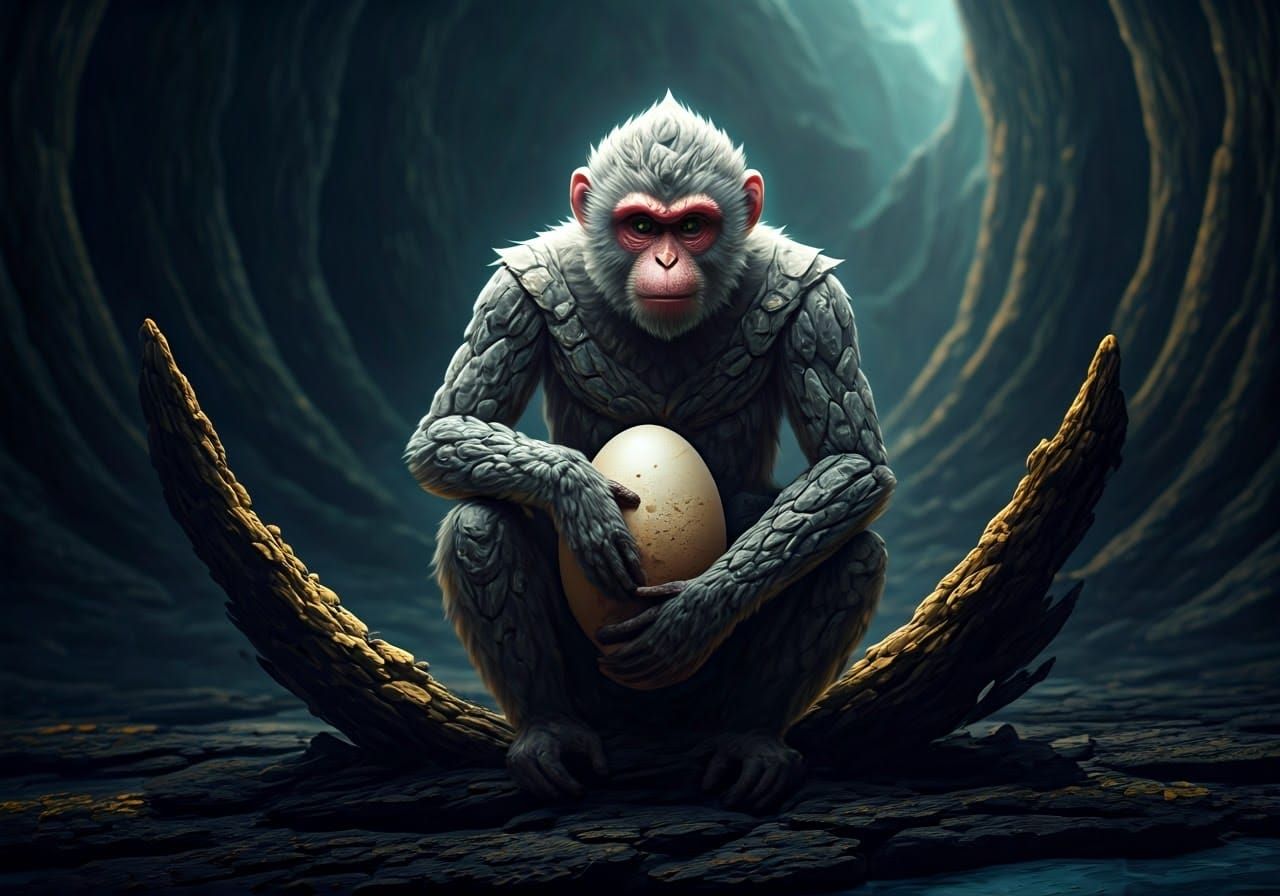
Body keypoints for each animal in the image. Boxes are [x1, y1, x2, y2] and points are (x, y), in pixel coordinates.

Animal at [405, 93, 895, 812]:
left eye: (691, 226)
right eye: (640, 225)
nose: (665, 262)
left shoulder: (817, 301)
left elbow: (850, 460)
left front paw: (692, 613)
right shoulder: (513, 292)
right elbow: (448, 426)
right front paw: (579, 492)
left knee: (852, 551)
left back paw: (750, 738)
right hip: (600, 694)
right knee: (476, 521)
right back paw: (549, 732)